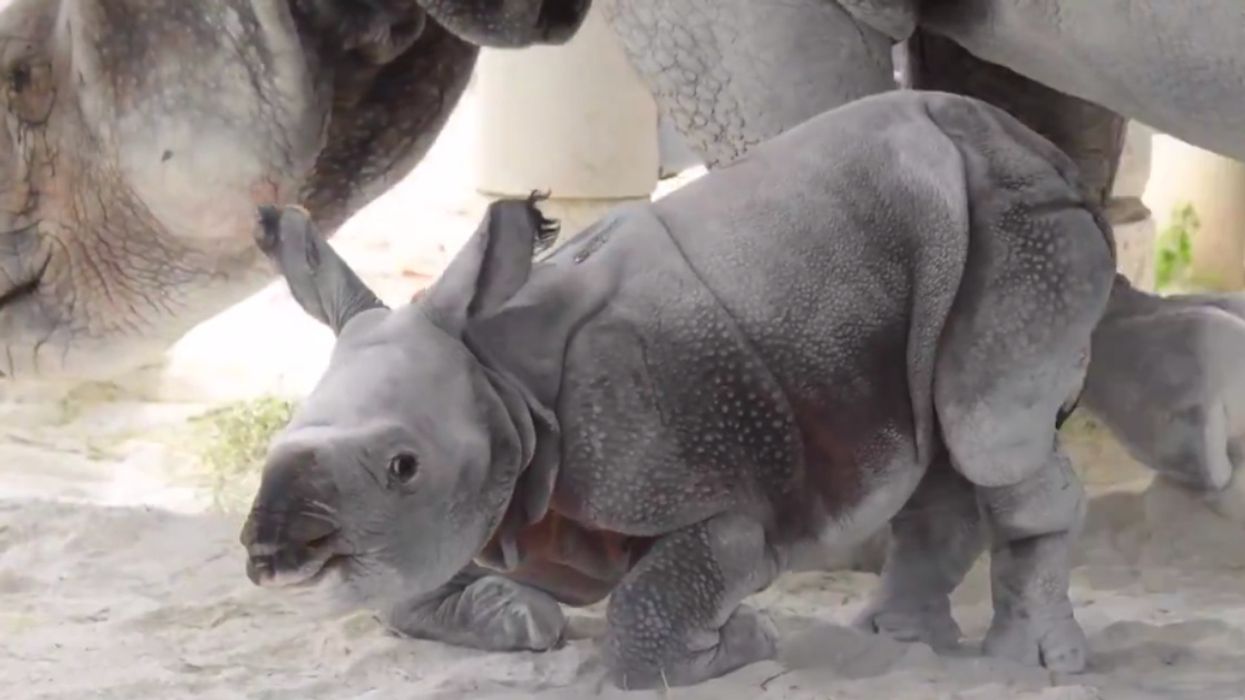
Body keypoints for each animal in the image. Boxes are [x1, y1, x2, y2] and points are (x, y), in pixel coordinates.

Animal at [239, 90, 1115, 688]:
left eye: (403, 465)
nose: (268, 555)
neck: (501, 378)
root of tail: (1033, 142)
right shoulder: (493, 508)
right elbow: (405, 588)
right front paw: (521, 619)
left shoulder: (706, 493)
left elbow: (646, 622)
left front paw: (747, 644)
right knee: (939, 440)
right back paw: (892, 642)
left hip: (1019, 221)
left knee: (989, 437)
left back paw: (1029, 664)